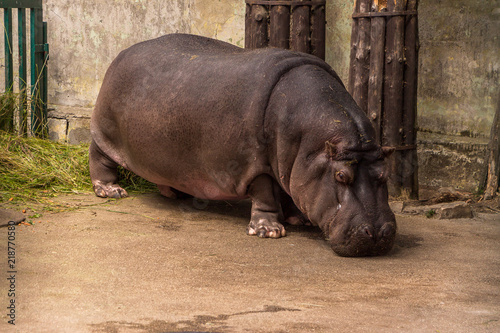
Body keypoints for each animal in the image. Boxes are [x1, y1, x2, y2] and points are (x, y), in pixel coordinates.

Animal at [89, 33, 394, 255]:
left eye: (384, 174)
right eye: (341, 176)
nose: (378, 233)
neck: (312, 146)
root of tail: (122, 52)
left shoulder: (292, 165)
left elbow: (291, 190)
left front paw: (299, 218)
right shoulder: (257, 164)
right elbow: (266, 194)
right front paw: (269, 231)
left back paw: (177, 194)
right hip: (104, 131)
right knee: (99, 158)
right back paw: (112, 191)